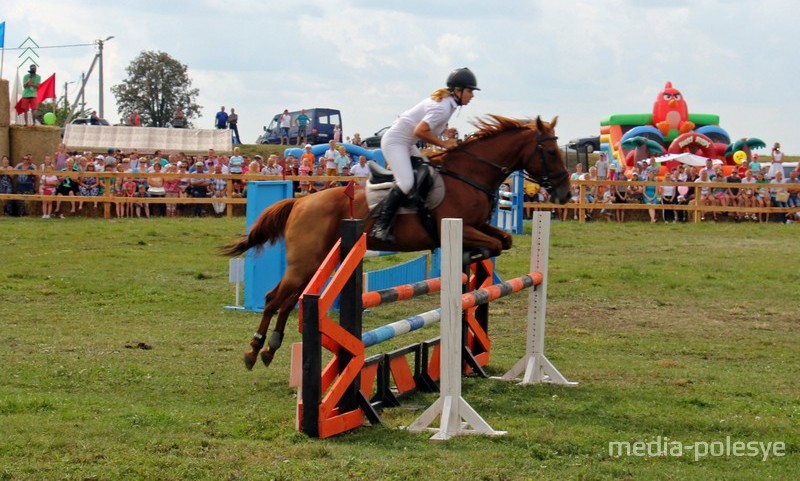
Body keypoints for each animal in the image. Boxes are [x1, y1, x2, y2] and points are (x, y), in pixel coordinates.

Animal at [222, 113, 572, 368]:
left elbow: (504, 241)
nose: (565, 194)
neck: (468, 176)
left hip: (315, 262)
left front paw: (471, 259)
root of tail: (301, 201)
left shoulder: (480, 225)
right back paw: (254, 350)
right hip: (306, 261)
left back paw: (270, 348)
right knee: (274, 298)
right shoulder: (454, 226)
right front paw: (469, 256)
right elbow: (496, 245)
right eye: (550, 152)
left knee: (289, 300)